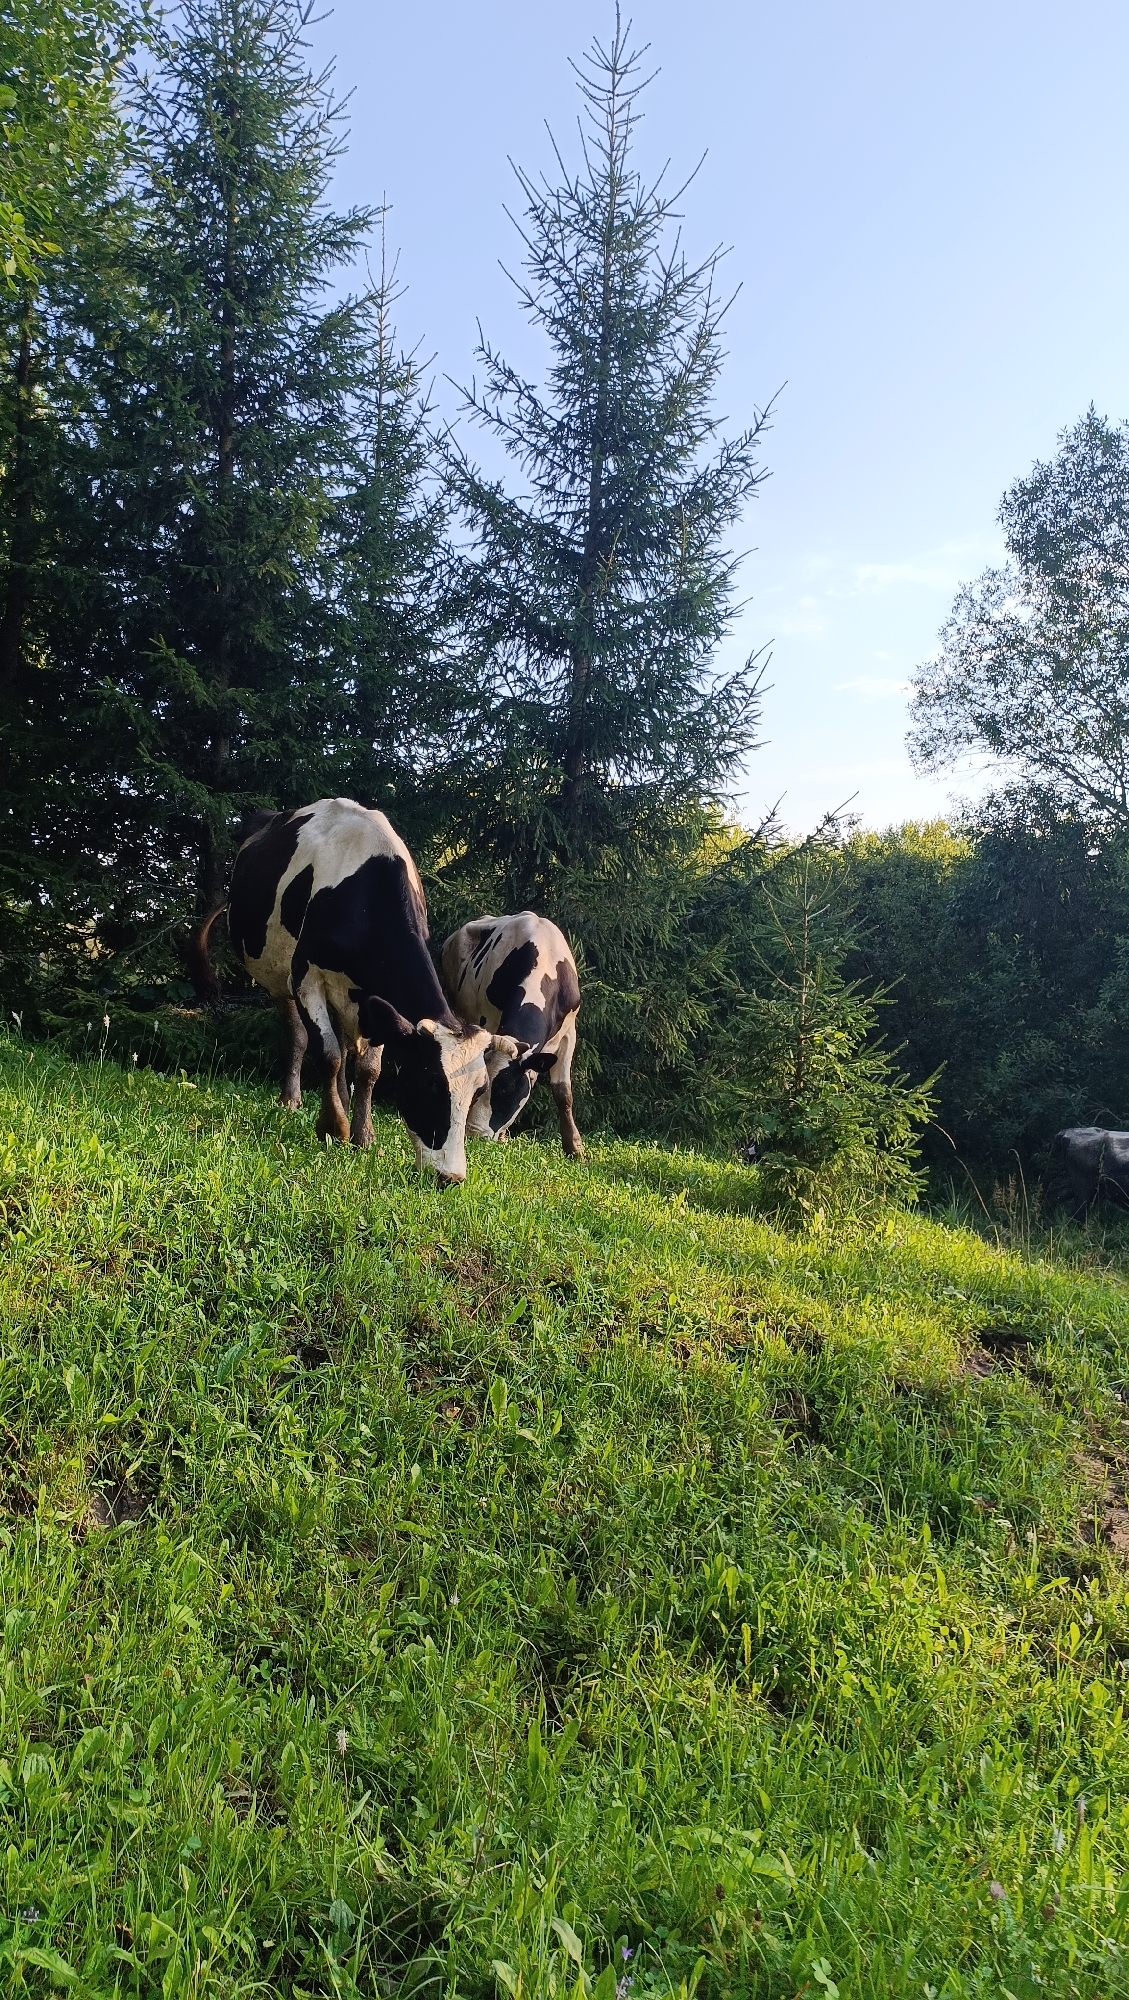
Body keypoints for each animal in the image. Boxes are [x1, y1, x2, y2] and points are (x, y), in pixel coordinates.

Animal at [191, 798, 523, 1183]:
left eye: (479, 1090)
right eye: (430, 1083)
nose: (450, 1177)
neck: (364, 895)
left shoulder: (375, 997)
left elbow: (368, 1069)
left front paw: (363, 1135)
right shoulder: (305, 976)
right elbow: (328, 1054)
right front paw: (333, 1127)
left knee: (344, 1041)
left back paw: (343, 1101)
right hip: (276, 975)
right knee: (300, 1036)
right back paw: (292, 1099)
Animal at [440, 912, 582, 1157]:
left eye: (505, 1089)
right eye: (483, 1086)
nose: (475, 1134)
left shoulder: (568, 1033)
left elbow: (563, 1093)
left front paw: (575, 1149)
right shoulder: (490, 1021)